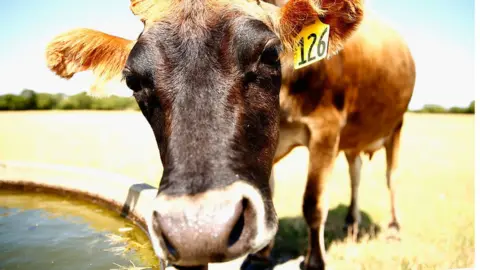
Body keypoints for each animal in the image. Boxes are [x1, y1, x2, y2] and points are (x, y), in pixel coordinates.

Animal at [43, 1, 414, 268]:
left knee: (392, 176)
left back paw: (395, 229)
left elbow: (313, 203)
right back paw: (351, 224)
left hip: (397, 125)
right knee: (356, 171)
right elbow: (270, 189)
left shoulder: (326, 128)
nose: (198, 231)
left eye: (271, 53)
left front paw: (314, 262)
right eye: (132, 80)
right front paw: (261, 255)